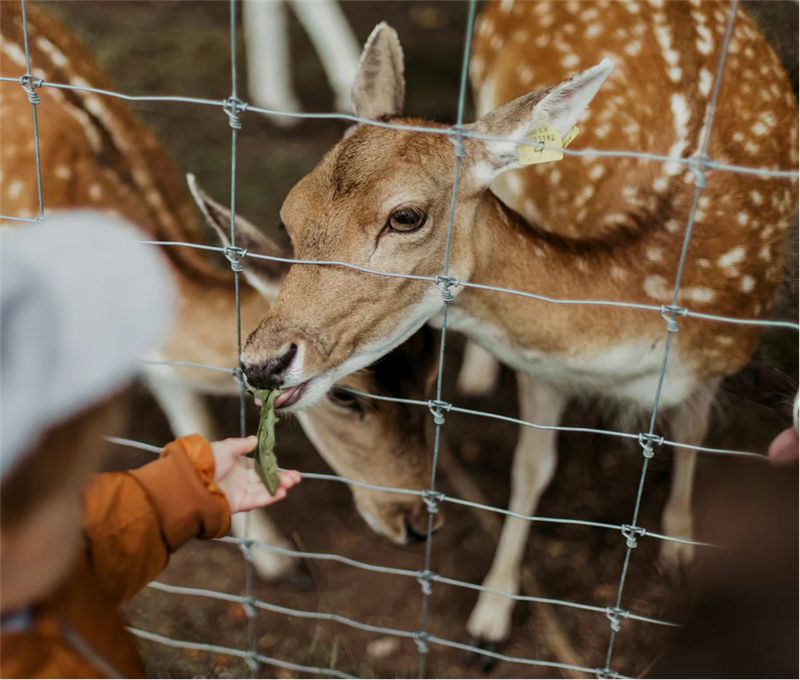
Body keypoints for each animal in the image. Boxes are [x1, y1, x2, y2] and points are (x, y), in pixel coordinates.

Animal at [228, 0, 796, 644]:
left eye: (406, 216)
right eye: (287, 216)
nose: (262, 362)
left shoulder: (727, 351)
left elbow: (693, 431)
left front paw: (679, 550)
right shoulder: (543, 366)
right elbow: (531, 468)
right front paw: (491, 615)